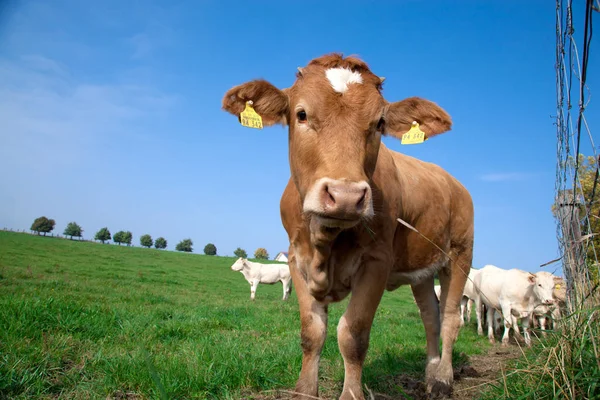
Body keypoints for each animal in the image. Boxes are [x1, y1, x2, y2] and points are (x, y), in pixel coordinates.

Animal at [221, 54, 474, 400]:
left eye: (379, 123)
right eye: (301, 114)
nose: (345, 197)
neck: (325, 243)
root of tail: (453, 181)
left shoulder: (377, 262)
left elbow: (352, 335)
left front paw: (351, 392)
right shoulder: (296, 258)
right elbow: (312, 332)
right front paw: (304, 391)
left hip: (460, 254)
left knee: (450, 318)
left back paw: (442, 379)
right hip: (422, 271)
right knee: (430, 318)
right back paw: (430, 372)